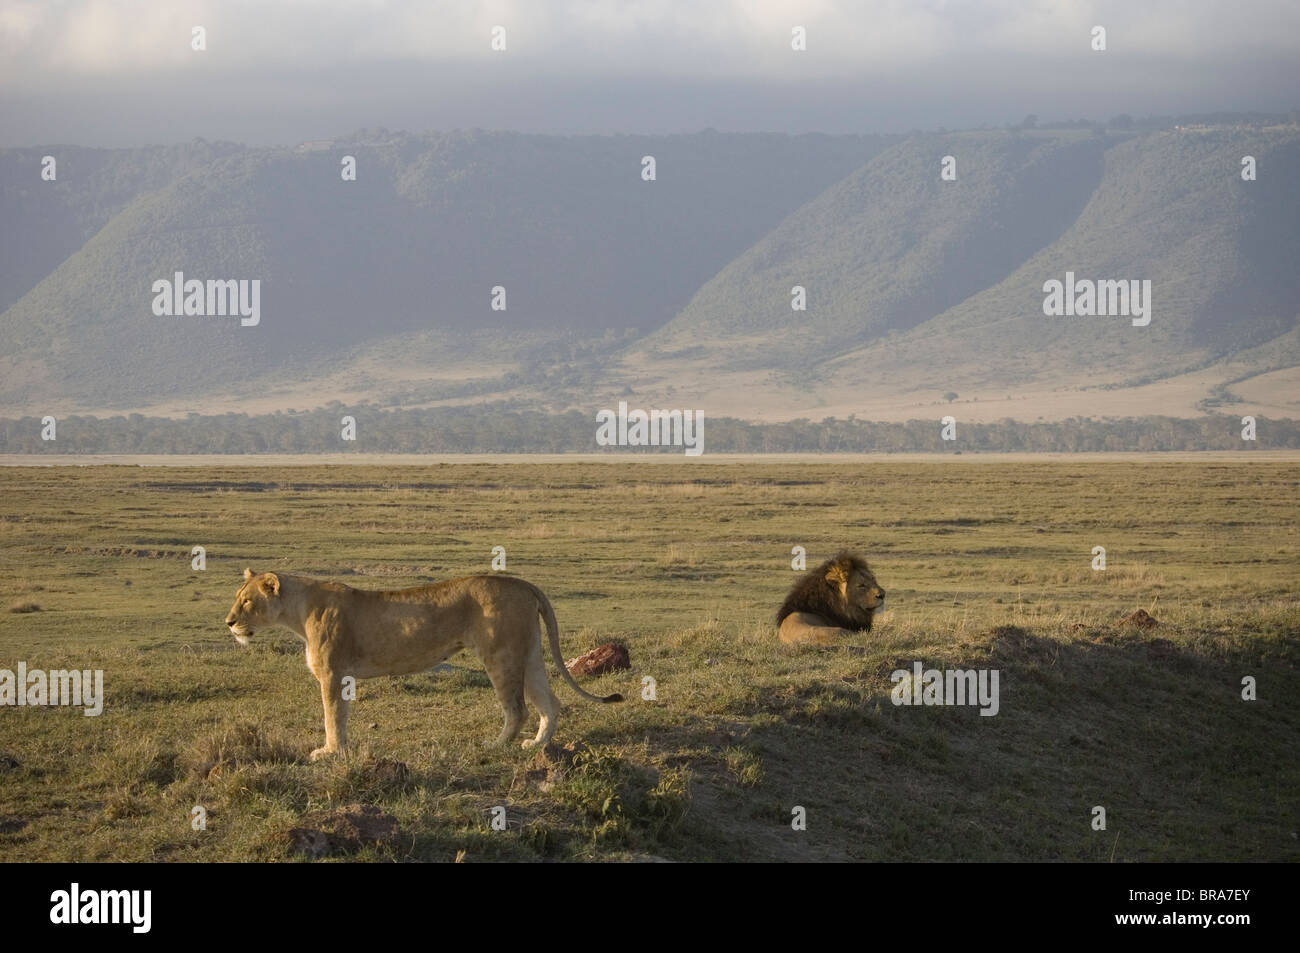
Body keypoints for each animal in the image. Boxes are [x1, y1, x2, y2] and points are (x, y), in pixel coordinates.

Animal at [224, 564, 624, 759]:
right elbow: (340, 716)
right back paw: (537, 746)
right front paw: (340, 750)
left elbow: (330, 716)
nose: (229, 622)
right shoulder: (343, 676)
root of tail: (523, 584)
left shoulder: (333, 674)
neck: (297, 611)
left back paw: (496, 746)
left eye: (246, 602)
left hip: (500, 653)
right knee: (549, 702)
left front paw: (329, 752)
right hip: (529, 653)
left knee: (518, 708)